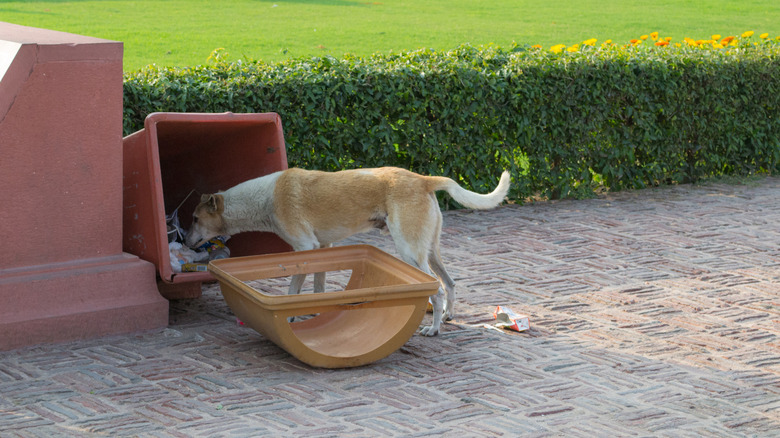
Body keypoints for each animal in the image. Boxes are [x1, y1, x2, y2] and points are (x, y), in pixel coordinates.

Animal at [185, 167, 508, 336]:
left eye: (195, 219)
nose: (186, 241)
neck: (265, 198)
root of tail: (422, 179)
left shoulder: (305, 248)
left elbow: (293, 288)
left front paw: (288, 317)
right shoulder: (321, 249)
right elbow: (318, 287)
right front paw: (315, 311)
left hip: (409, 250)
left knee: (437, 289)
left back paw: (434, 329)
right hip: (428, 250)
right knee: (449, 283)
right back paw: (450, 316)